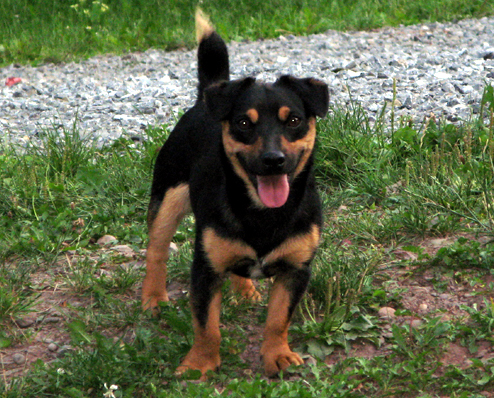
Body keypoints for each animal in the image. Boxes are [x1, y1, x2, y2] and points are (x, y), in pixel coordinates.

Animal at [142, 8, 328, 376]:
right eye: (243, 123)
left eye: (294, 120)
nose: (273, 159)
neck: (262, 213)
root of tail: (205, 97)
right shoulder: (205, 270)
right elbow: (206, 325)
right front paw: (200, 364)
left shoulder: (296, 270)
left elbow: (278, 319)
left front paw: (277, 355)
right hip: (167, 198)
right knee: (156, 251)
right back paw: (153, 298)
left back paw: (244, 290)